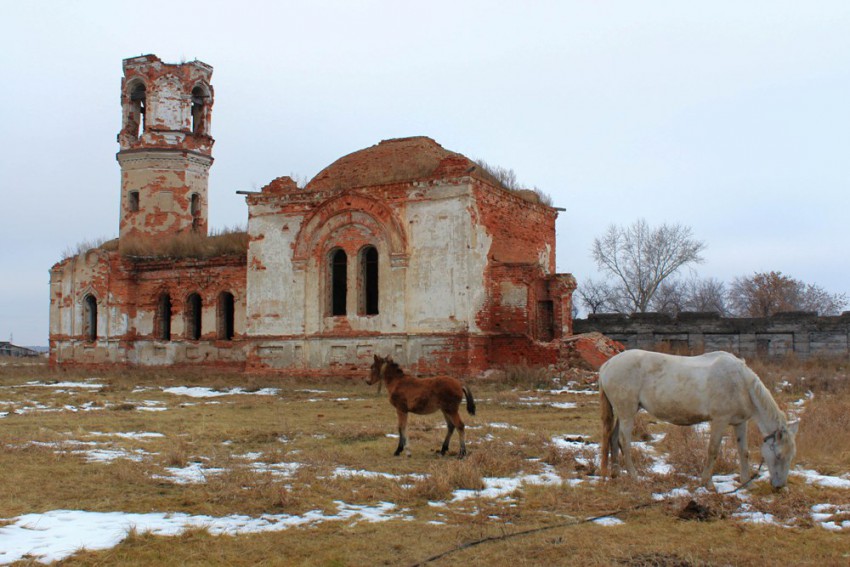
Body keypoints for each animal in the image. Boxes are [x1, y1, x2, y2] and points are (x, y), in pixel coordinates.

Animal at [596, 350, 796, 488]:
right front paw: (707, 483)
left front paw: (747, 482)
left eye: (791, 456)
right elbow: (713, 450)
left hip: (623, 413)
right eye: (779, 455)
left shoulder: (740, 422)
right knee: (624, 441)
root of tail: (608, 364)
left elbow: (743, 451)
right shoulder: (719, 420)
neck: (740, 382)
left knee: (613, 438)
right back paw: (634, 476)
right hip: (627, 413)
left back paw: (615, 473)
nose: (779, 487)